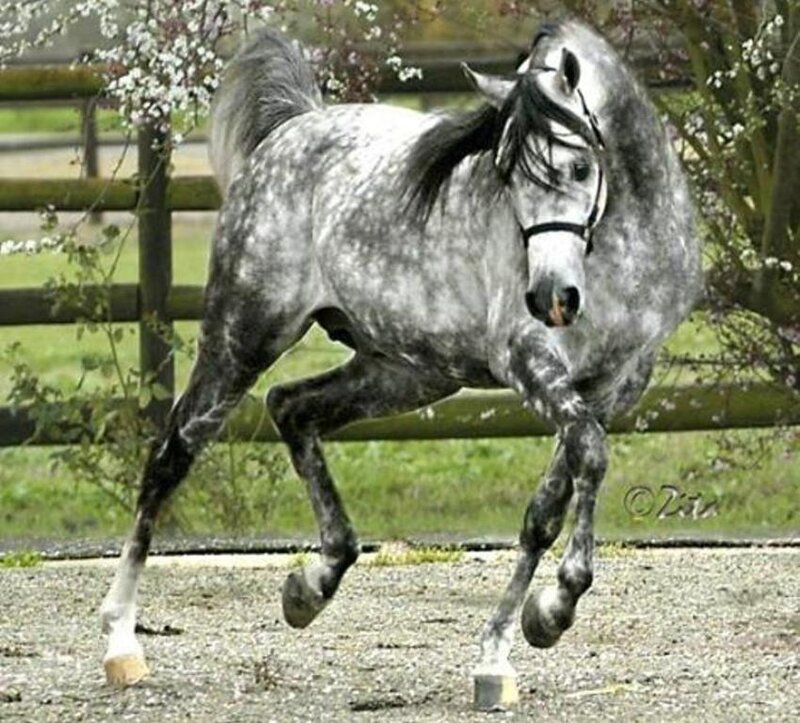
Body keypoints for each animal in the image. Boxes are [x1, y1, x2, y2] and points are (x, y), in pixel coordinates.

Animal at [99, 18, 702, 710]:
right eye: (505, 175)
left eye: (579, 165)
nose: (550, 298)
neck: (623, 253)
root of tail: (293, 127)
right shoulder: (531, 366)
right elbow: (591, 457)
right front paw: (553, 609)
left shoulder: (608, 388)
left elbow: (549, 505)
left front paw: (514, 641)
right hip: (243, 336)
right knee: (171, 455)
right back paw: (121, 642)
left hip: (406, 371)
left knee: (291, 408)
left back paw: (311, 586)